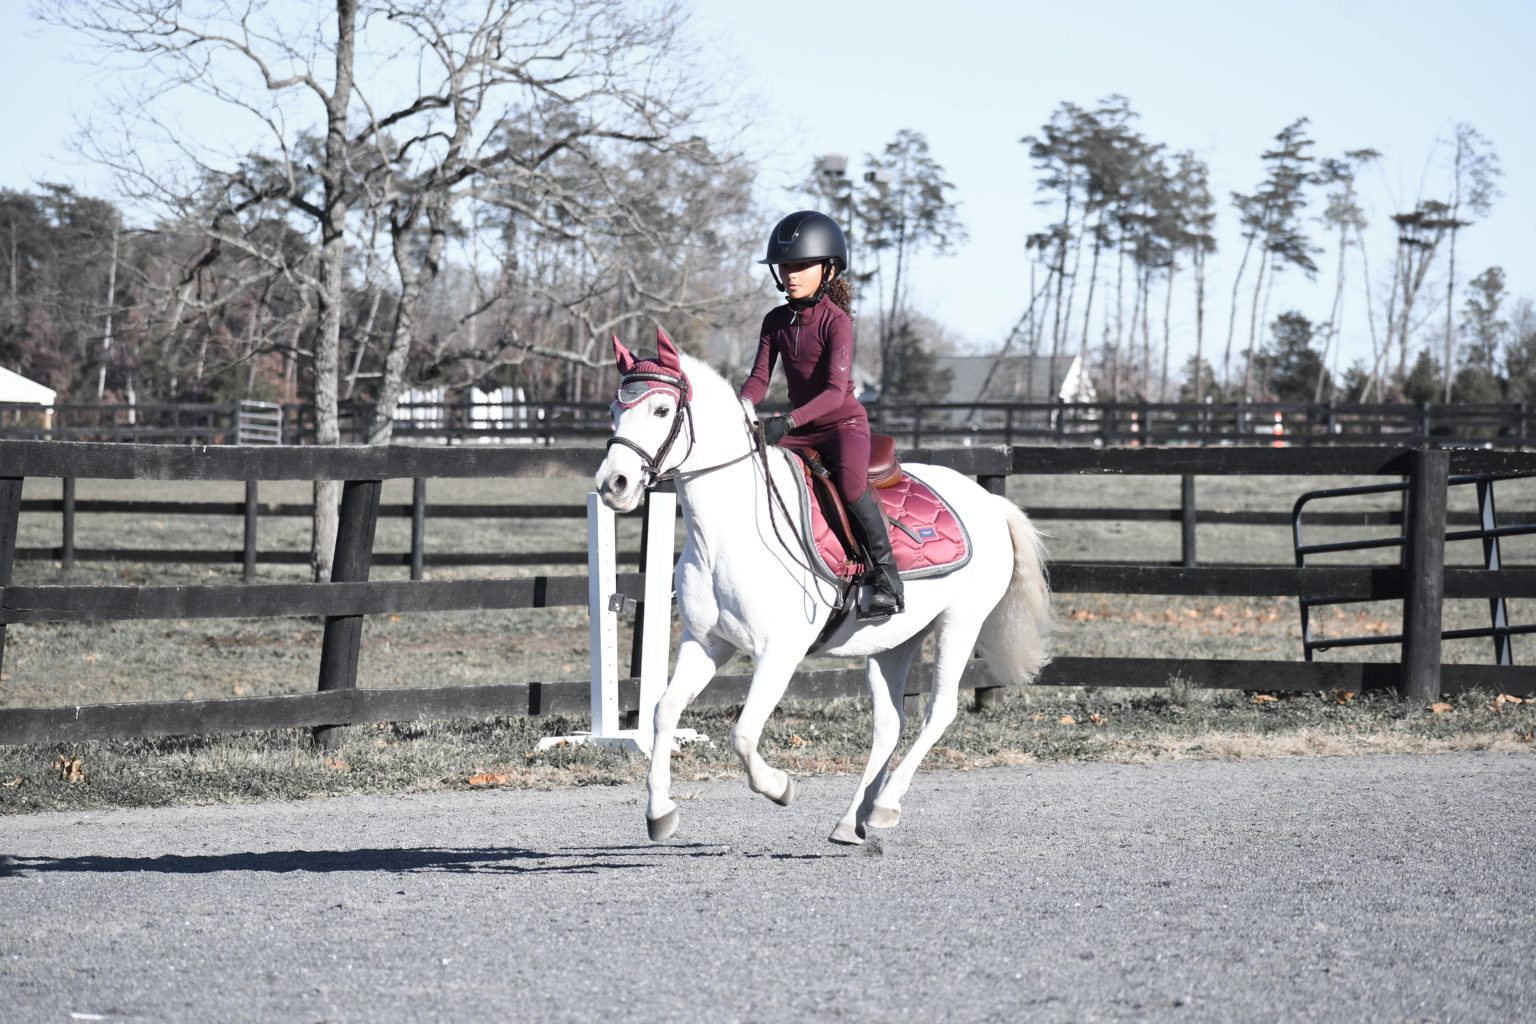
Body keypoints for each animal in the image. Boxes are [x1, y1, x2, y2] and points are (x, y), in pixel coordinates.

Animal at [595, 329, 1052, 845]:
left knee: (939, 712)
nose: (613, 484)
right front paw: (660, 811)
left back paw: (884, 806)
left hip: (961, 622)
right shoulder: (707, 643)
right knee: (889, 725)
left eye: (661, 410)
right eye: (614, 409)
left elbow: (743, 735)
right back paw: (852, 820)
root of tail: (990, 501)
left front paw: (778, 786)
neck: (729, 531)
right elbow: (664, 711)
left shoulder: (779, 653)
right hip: (894, 641)